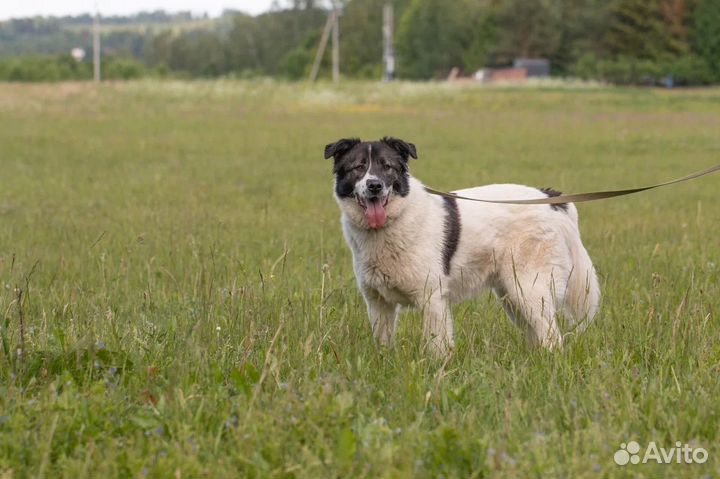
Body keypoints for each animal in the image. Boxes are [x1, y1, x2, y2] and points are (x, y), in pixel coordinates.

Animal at [324, 137, 600, 358]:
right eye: (359, 167)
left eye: (387, 167)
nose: (375, 186)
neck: (393, 221)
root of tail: (551, 199)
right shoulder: (378, 303)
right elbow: (382, 343)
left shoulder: (432, 298)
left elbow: (436, 347)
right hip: (513, 296)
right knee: (539, 335)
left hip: (529, 289)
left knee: (553, 337)